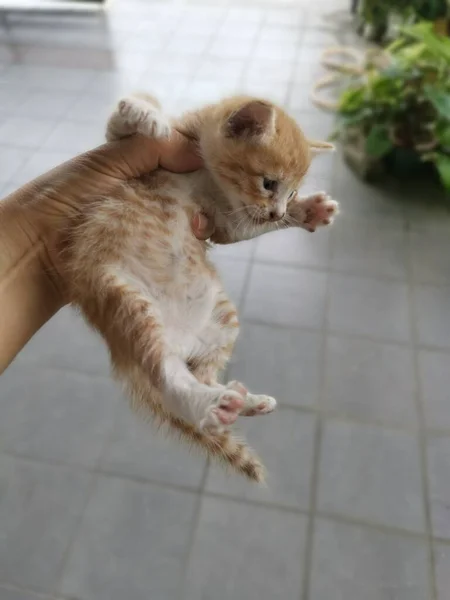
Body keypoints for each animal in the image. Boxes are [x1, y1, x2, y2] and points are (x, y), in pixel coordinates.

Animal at [63, 94, 338, 482]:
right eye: (269, 183)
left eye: (293, 190)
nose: (278, 212)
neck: (206, 174)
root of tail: (178, 339)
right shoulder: (130, 160)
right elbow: (118, 128)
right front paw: (145, 114)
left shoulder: (223, 221)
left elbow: (244, 225)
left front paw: (308, 211)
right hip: (125, 298)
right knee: (166, 375)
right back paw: (210, 408)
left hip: (223, 318)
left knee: (202, 374)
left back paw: (243, 401)